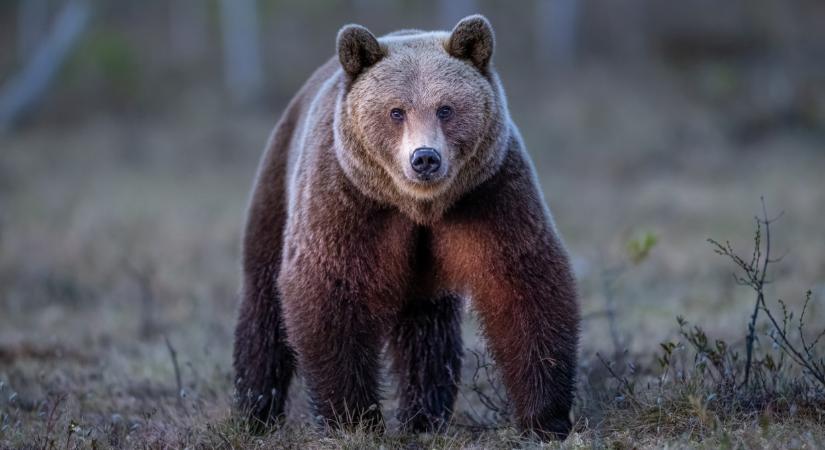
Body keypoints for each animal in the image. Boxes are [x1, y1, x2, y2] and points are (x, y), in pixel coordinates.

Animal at [232, 14, 580, 440]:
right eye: (396, 111)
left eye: (445, 108)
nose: (425, 158)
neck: (418, 206)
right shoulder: (346, 200)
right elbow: (328, 289)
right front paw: (351, 418)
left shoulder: (489, 193)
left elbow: (522, 283)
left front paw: (546, 417)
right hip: (277, 185)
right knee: (263, 302)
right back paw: (255, 410)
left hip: (424, 272)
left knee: (427, 330)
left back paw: (424, 416)